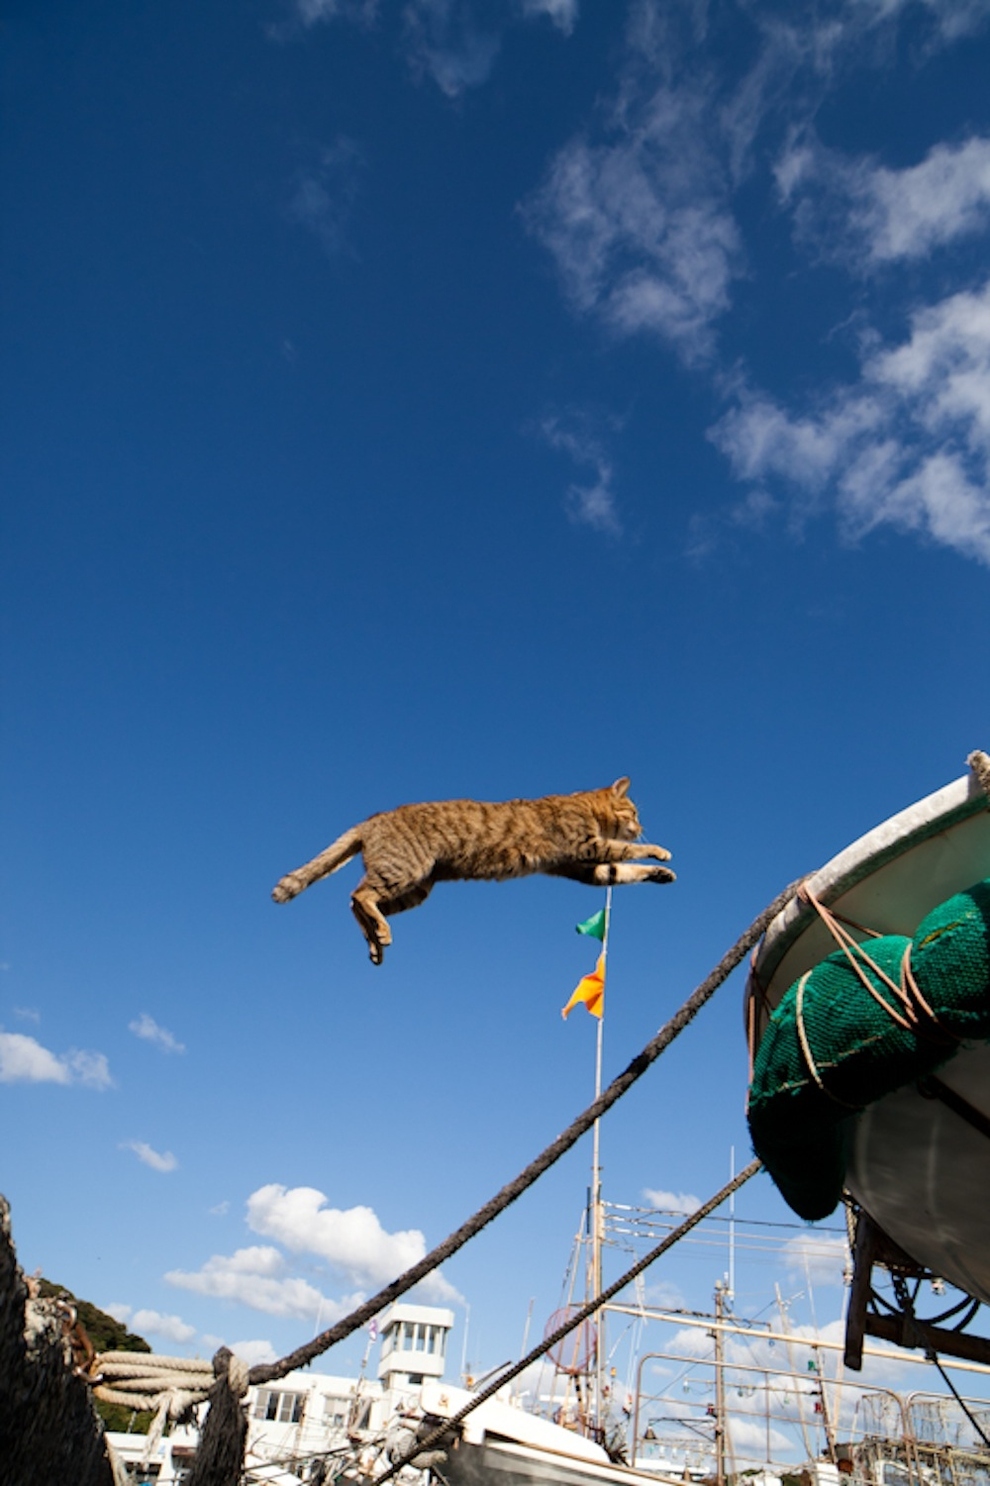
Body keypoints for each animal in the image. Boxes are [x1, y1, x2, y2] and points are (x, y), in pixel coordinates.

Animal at [270, 784, 671, 968]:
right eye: (633, 811)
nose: (640, 825)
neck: (584, 804)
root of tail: (372, 820)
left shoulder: (582, 867)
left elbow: (622, 870)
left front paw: (659, 872)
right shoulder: (585, 846)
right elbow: (623, 851)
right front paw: (658, 850)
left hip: (417, 888)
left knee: (355, 904)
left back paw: (374, 941)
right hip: (406, 869)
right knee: (360, 895)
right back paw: (380, 932)